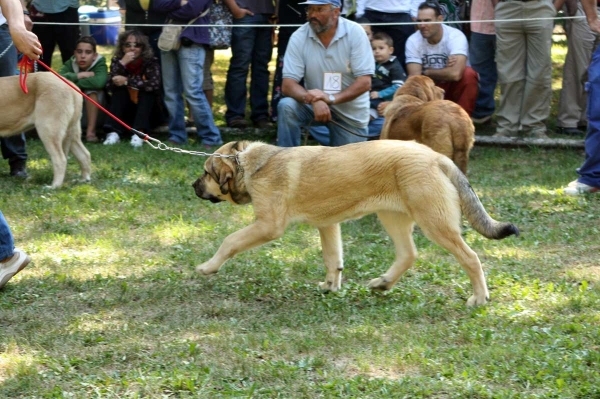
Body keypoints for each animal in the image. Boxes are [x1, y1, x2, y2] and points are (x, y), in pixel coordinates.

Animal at [193, 140, 520, 306]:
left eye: (207, 172)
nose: (193, 186)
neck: (248, 162)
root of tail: (438, 157)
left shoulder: (268, 225)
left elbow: (230, 241)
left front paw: (208, 267)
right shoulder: (327, 225)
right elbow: (333, 258)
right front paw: (331, 285)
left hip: (436, 223)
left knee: (471, 257)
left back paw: (479, 297)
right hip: (394, 218)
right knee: (408, 254)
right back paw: (383, 283)